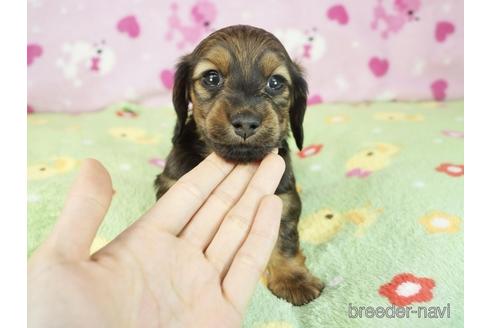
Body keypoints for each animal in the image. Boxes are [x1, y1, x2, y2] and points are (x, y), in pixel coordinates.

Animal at [154, 25, 322, 304]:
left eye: (275, 82)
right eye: (212, 78)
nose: (245, 122)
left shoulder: (284, 197)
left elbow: (285, 239)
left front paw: (292, 278)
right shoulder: (171, 182)